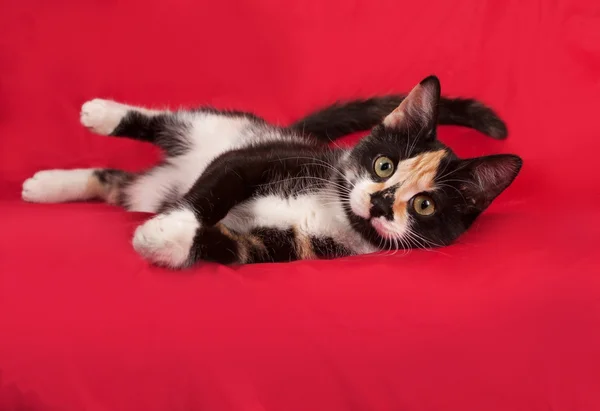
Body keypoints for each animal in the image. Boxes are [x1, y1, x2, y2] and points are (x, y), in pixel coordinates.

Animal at [22, 76, 520, 270]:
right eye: (384, 165)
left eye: (424, 204)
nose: (380, 202)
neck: (334, 210)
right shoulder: (267, 158)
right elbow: (218, 184)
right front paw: (169, 230)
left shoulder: (298, 248)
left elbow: (235, 248)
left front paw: (166, 243)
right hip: (222, 128)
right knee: (168, 123)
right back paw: (102, 114)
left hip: (148, 188)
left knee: (117, 183)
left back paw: (47, 185)